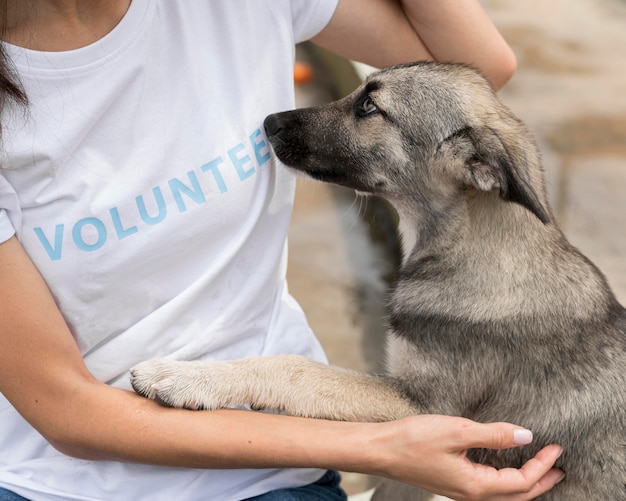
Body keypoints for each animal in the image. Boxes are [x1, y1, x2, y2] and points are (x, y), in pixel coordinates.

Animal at [129, 62, 620, 500]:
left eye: (369, 106)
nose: (270, 123)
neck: (473, 249)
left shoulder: (424, 411)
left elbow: (293, 369)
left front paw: (183, 377)